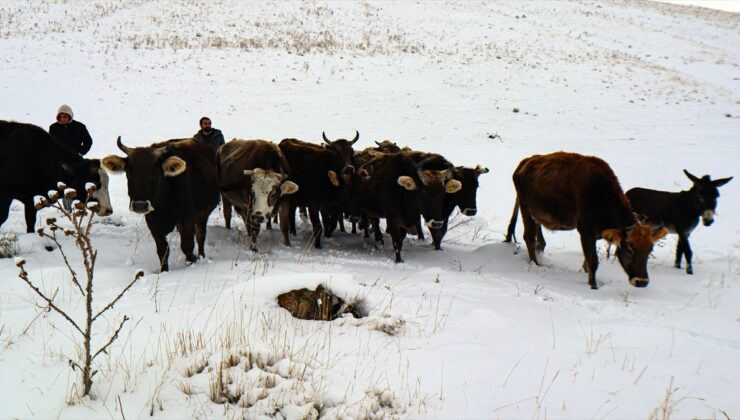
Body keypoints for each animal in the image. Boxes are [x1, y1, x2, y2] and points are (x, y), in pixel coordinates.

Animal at [101, 136, 218, 270]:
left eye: (156, 172)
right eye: (128, 172)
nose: (140, 205)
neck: (164, 203)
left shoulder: (187, 218)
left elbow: (187, 246)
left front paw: (192, 262)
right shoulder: (152, 222)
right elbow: (162, 250)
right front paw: (164, 270)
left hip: (202, 216)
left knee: (200, 236)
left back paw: (201, 256)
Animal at [506, 153, 668, 290]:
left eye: (650, 250)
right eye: (629, 248)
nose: (642, 282)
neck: (602, 194)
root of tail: (523, 164)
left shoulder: (596, 234)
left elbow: (588, 259)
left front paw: (585, 272)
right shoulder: (585, 230)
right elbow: (593, 260)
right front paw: (593, 286)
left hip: (535, 213)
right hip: (525, 209)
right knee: (528, 237)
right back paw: (536, 264)